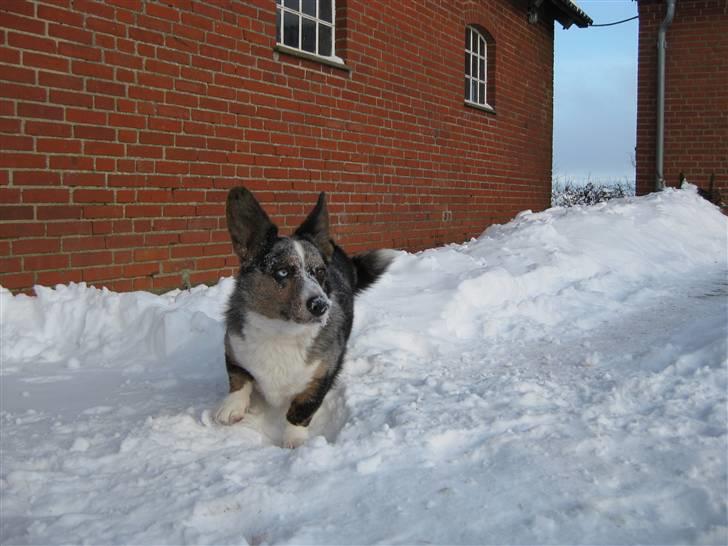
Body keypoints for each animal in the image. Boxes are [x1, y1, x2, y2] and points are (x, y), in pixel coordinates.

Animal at [215, 187, 392, 446]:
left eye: (319, 272)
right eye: (282, 272)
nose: (321, 305)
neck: (282, 331)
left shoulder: (321, 376)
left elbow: (302, 407)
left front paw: (294, 440)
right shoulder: (233, 348)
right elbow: (239, 377)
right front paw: (231, 407)